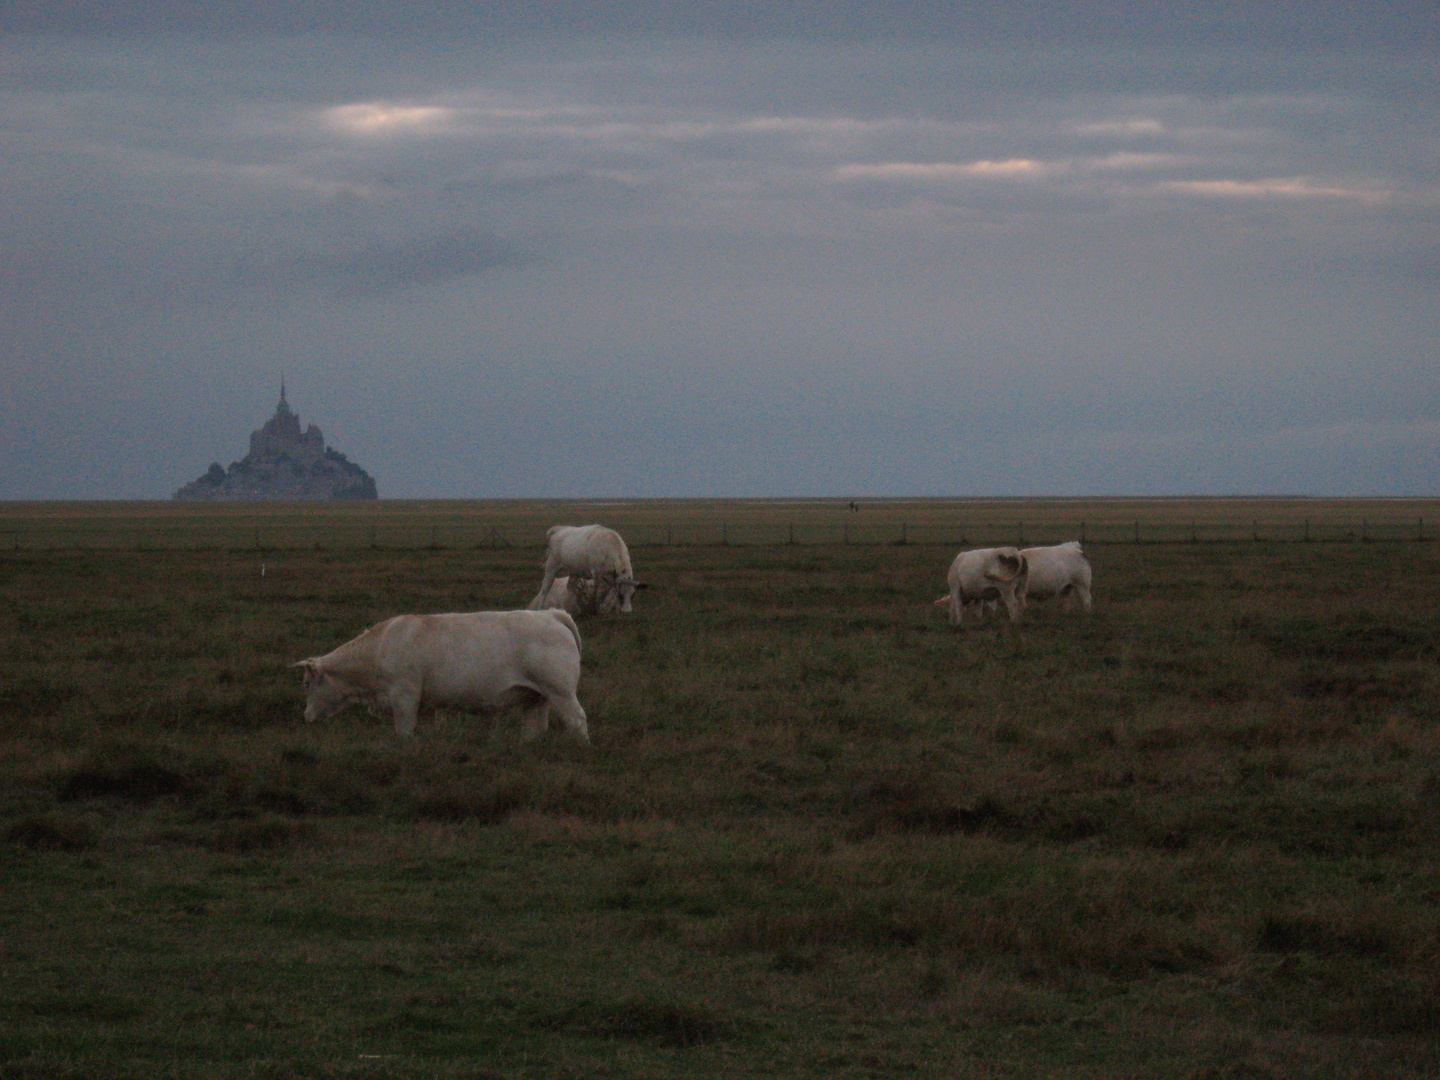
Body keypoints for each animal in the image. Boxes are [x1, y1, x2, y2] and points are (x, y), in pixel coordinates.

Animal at [295, 610, 587, 743]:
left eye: (307, 684)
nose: (306, 717)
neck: (379, 649)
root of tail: (551, 614)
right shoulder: (425, 705)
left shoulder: (404, 697)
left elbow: (404, 730)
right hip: (536, 697)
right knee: (535, 727)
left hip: (560, 692)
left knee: (577, 719)